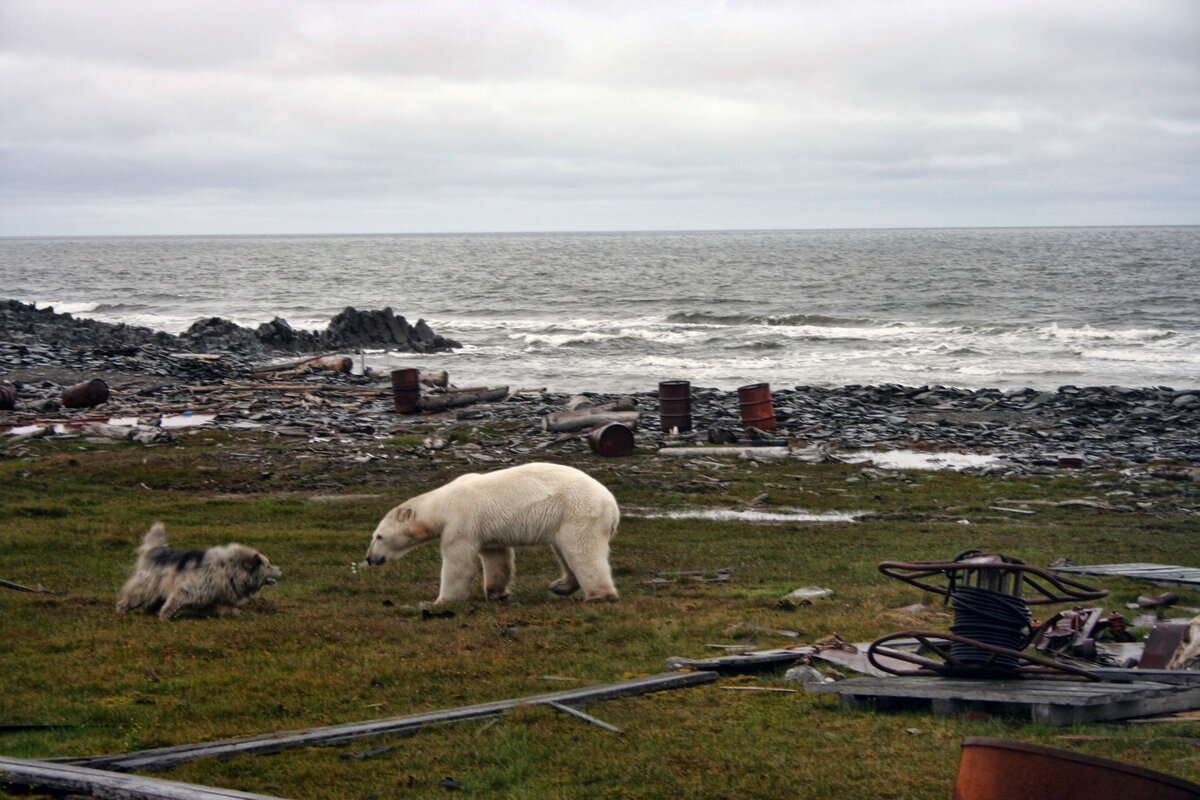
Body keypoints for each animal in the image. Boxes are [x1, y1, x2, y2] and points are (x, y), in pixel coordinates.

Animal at [364, 460, 619, 604]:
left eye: (379, 536)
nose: (369, 558)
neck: (442, 503)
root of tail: (613, 506)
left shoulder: (461, 521)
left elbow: (459, 564)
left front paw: (442, 600)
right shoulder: (486, 530)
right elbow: (497, 558)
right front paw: (497, 593)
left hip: (578, 512)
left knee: (581, 551)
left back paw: (600, 596)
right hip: (563, 520)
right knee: (565, 551)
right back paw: (561, 585)